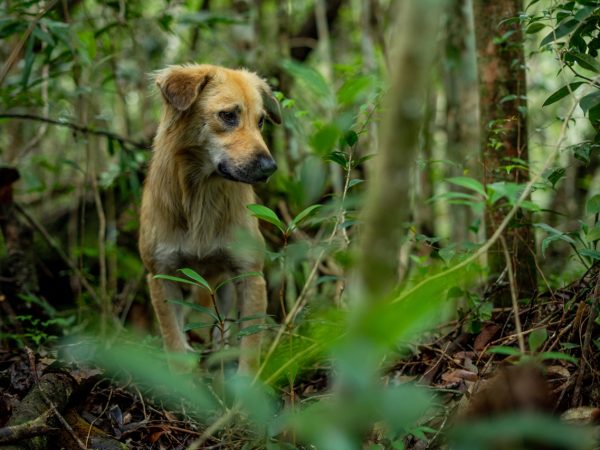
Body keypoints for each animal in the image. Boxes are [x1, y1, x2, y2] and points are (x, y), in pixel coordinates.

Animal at [139, 63, 282, 372]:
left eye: (261, 121)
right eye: (228, 116)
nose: (270, 168)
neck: (201, 198)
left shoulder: (250, 275)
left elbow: (248, 349)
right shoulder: (161, 275)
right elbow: (174, 342)